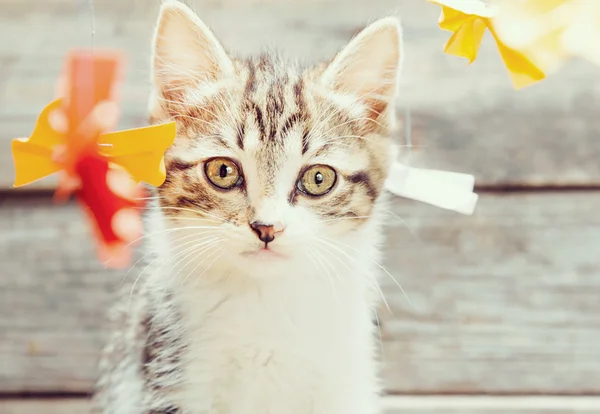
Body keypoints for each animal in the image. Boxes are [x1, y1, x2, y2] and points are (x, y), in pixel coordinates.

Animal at [92, 1, 404, 412]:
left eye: (318, 178)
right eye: (223, 171)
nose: (267, 227)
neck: (266, 301)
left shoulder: (347, 383)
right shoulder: (166, 382)